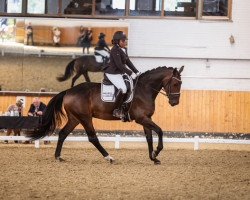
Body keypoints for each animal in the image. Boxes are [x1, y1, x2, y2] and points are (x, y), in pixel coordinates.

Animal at [28, 65, 184, 164]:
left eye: (180, 84)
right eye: (176, 84)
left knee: (63, 134)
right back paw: (109, 158)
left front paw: (153, 158)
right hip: (85, 118)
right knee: (92, 138)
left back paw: (58, 157)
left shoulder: (146, 118)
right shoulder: (141, 118)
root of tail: (68, 91)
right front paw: (157, 152)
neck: (144, 89)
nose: (175, 102)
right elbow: (160, 131)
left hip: (75, 118)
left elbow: (149, 137)